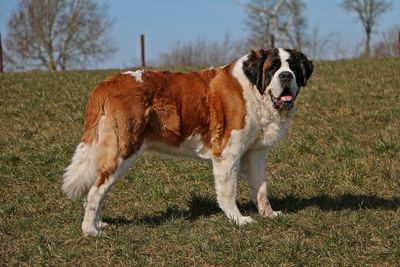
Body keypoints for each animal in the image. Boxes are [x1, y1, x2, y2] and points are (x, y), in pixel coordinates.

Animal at [61, 48, 312, 237]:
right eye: (273, 68)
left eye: (292, 67)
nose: (286, 76)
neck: (253, 91)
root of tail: (106, 83)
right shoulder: (227, 154)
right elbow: (228, 191)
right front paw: (238, 219)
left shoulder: (256, 153)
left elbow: (261, 188)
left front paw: (269, 214)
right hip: (123, 149)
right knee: (95, 191)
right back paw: (90, 231)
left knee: (98, 188)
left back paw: (97, 223)